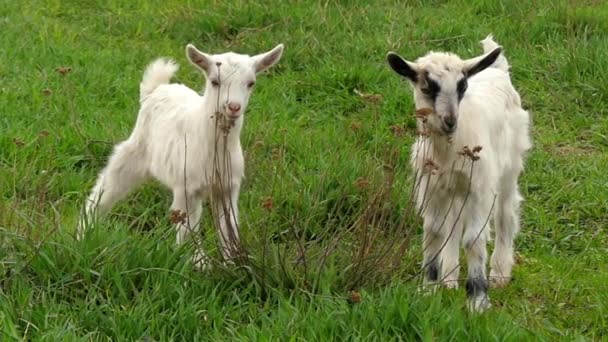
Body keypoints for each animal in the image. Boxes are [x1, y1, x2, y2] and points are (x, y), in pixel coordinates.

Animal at [388, 36, 528, 312]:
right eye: (427, 87)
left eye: (462, 87)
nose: (450, 121)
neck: (448, 150)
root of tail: (497, 70)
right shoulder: (430, 188)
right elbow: (434, 231)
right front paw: (429, 289)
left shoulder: (479, 189)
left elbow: (474, 239)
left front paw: (478, 300)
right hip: (453, 189)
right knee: (453, 223)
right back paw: (449, 278)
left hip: (508, 168)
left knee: (505, 214)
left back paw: (499, 273)